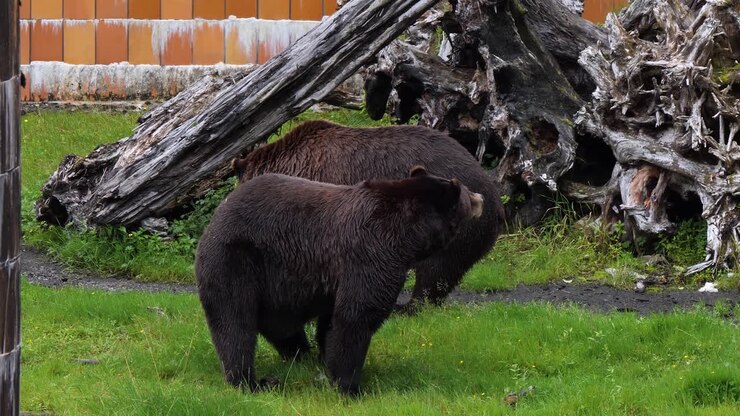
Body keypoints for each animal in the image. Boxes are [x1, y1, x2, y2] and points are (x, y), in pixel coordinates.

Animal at [195, 166, 483, 396]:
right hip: (236, 260)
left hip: (275, 284)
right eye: (465, 192)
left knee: (281, 326)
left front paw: (326, 361)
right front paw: (351, 386)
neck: (407, 236)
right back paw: (252, 382)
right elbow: (356, 316)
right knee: (234, 322)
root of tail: (215, 218)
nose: (480, 197)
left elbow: (332, 321)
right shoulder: (372, 252)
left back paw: (301, 355)